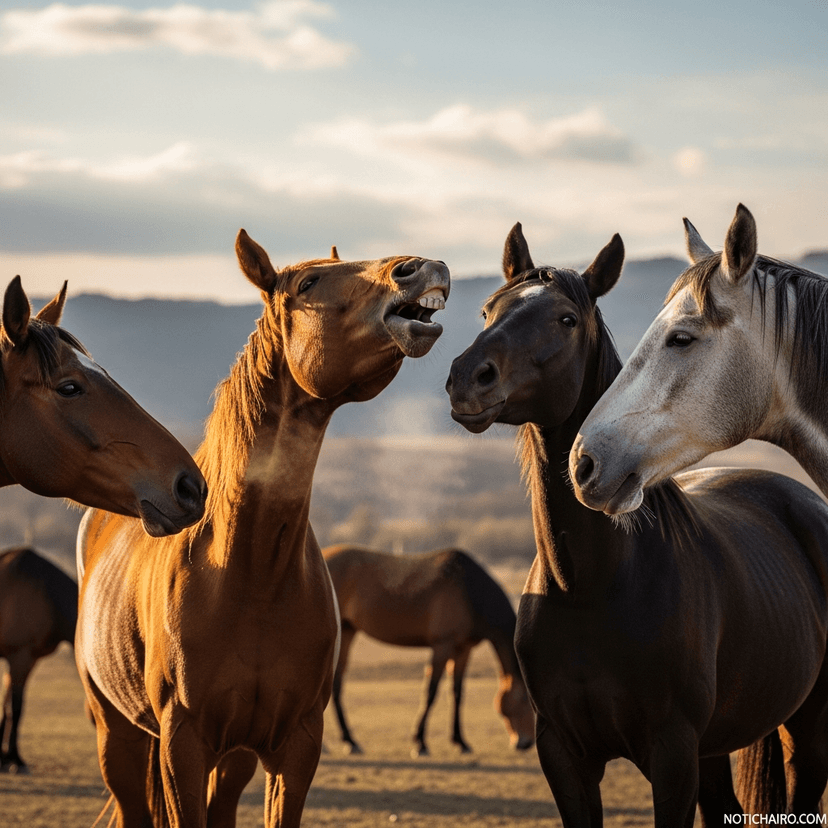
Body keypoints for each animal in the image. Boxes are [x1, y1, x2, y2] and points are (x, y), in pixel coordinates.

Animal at [0, 546, 77, 772]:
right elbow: (15, 708)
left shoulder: (27, 661)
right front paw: (15, 760)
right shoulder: (20, 658)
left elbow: (6, 706)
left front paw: (3, 758)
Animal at [76, 232, 449, 828]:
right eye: (309, 283)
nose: (421, 267)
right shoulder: (182, 746)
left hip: (234, 757)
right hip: (118, 733)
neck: (248, 572)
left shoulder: (294, 746)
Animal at [323, 544, 535, 757]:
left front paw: (461, 742)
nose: (525, 743)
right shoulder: (442, 646)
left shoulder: (463, 649)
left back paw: (349, 741)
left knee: (336, 685)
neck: (468, 588)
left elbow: (457, 693)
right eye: (527, 702)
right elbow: (431, 692)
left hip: (347, 631)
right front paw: (421, 743)